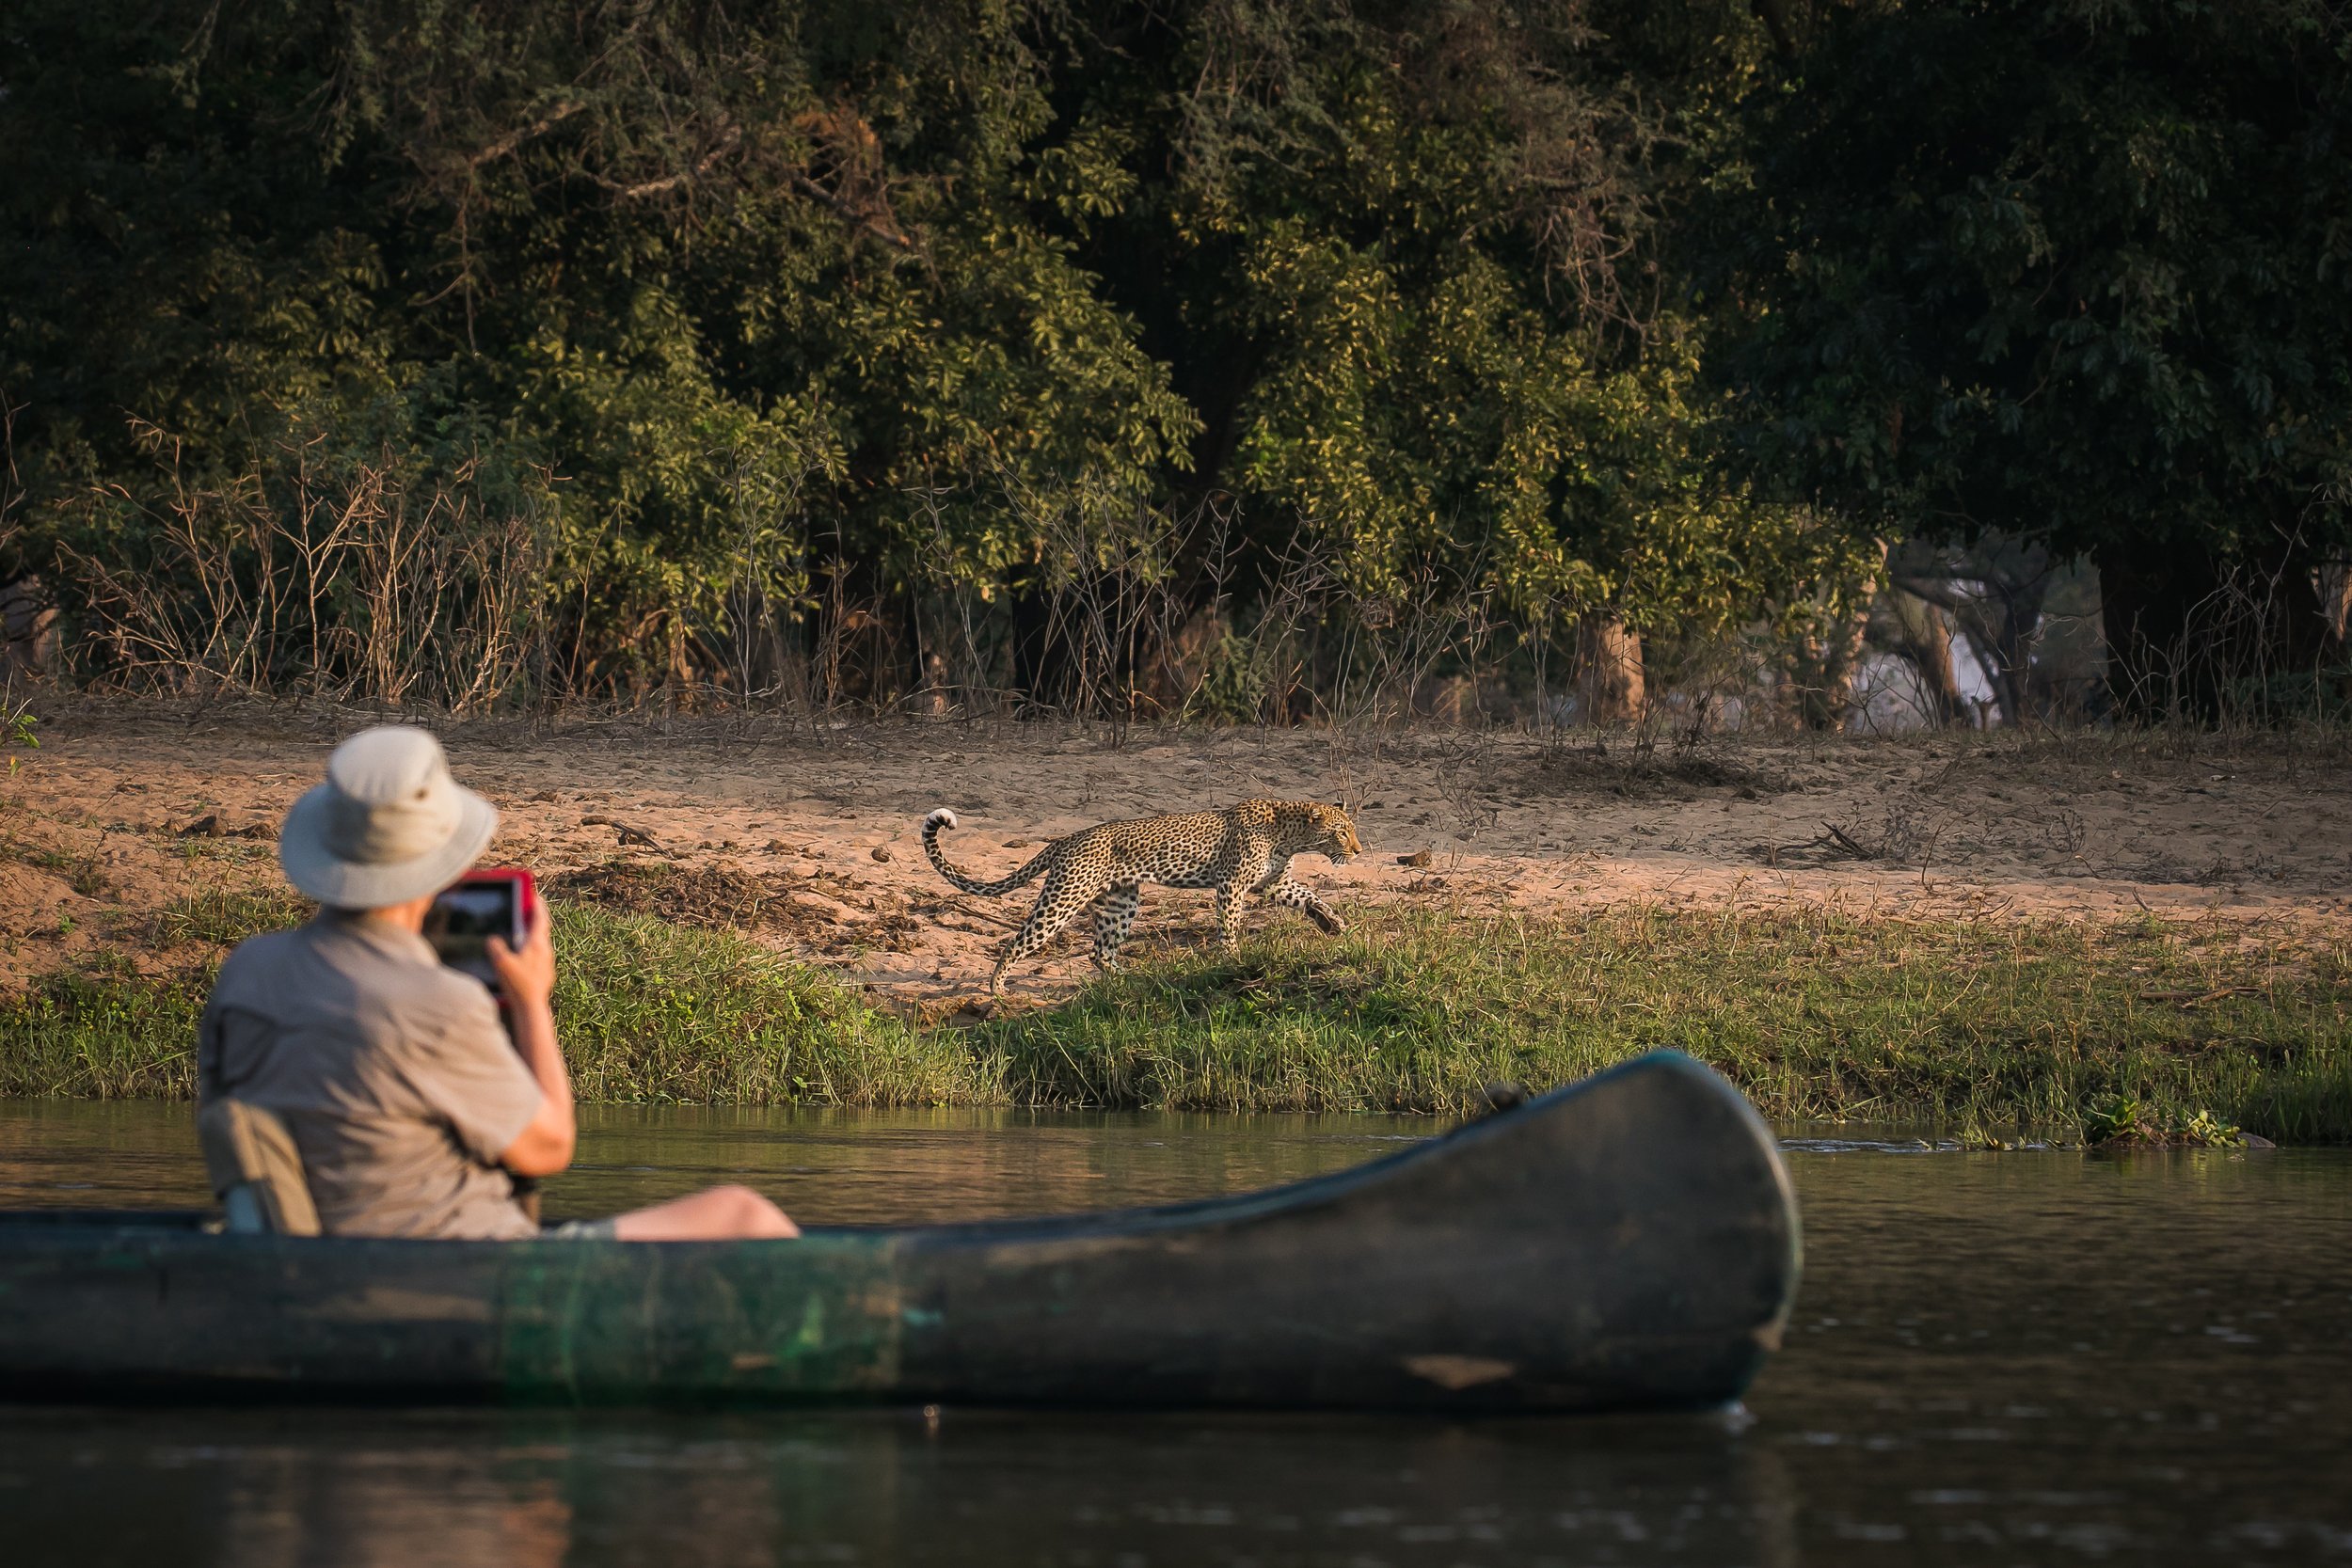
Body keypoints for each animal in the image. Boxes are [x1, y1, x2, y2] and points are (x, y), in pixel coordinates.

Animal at [921, 799, 1363, 993]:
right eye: (1342, 832)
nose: (1358, 851)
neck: (1291, 835)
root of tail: (1065, 840)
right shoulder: (1232, 884)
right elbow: (1230, 926)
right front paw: (1234, 959)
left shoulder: (1271, 882)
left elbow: (1310, 895)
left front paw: (1333, 923)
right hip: (1065, 897)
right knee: (1019, 940)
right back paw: (997, 989)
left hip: (1121, 901)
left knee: (1100, 952)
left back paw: (1131, 978)